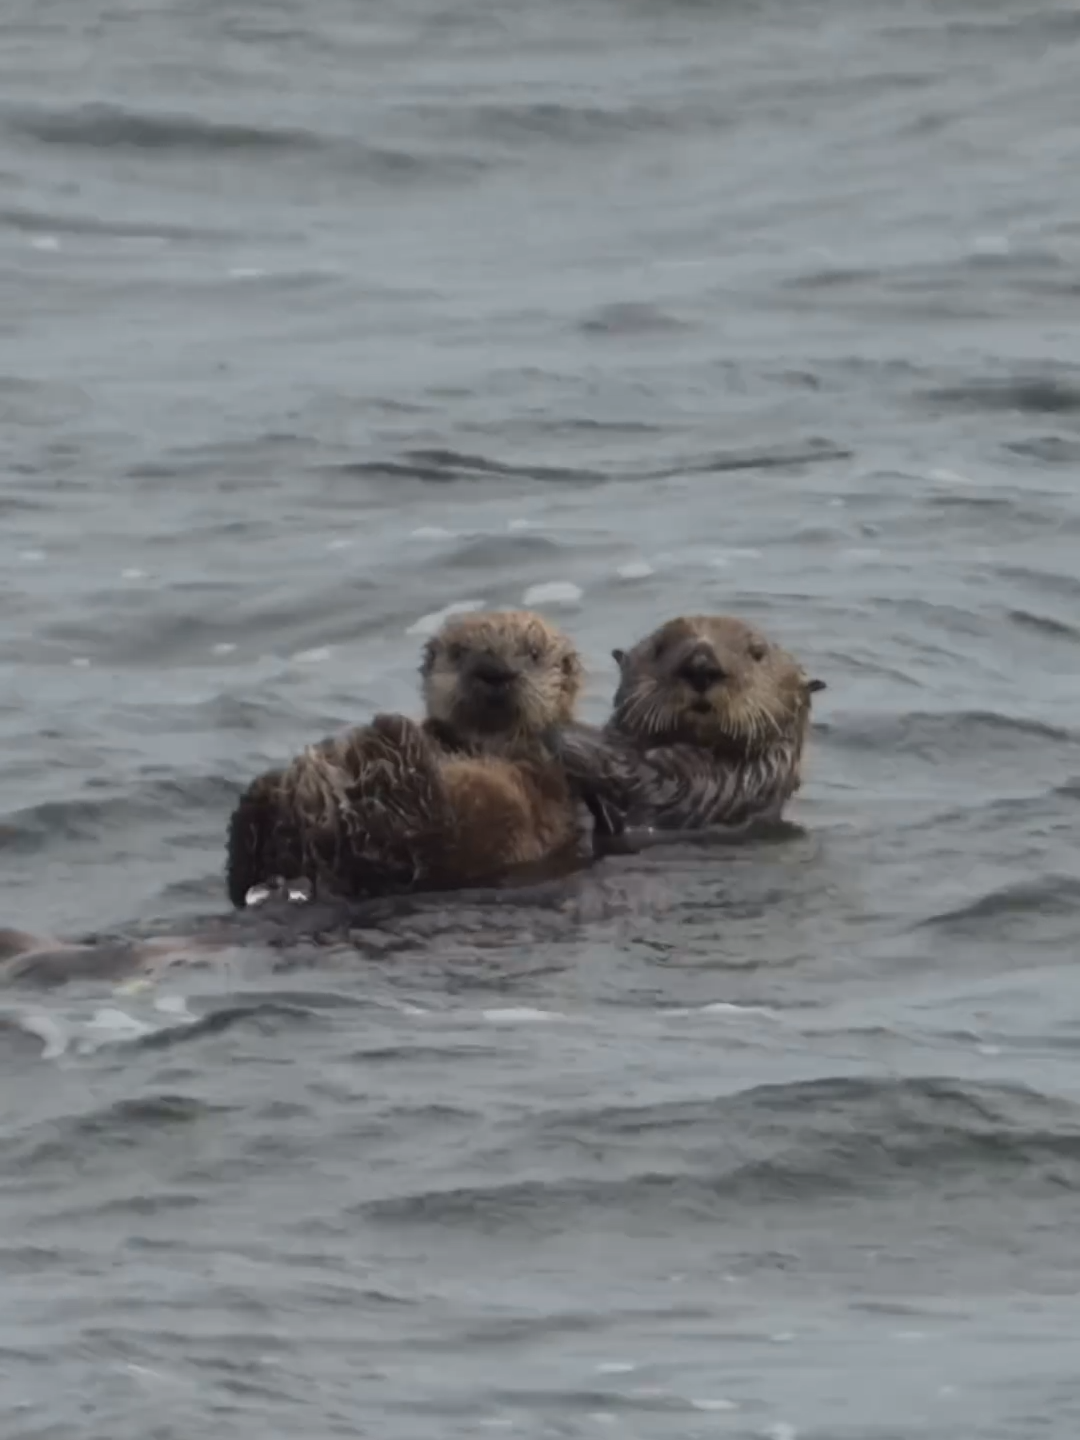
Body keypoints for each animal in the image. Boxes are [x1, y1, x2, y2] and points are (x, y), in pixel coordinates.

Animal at [549, 614, 826, 837]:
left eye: (757, 652)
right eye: (659, 647)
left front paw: (557, 731)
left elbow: (641, 781)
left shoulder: (707, 792)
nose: (701, 667)